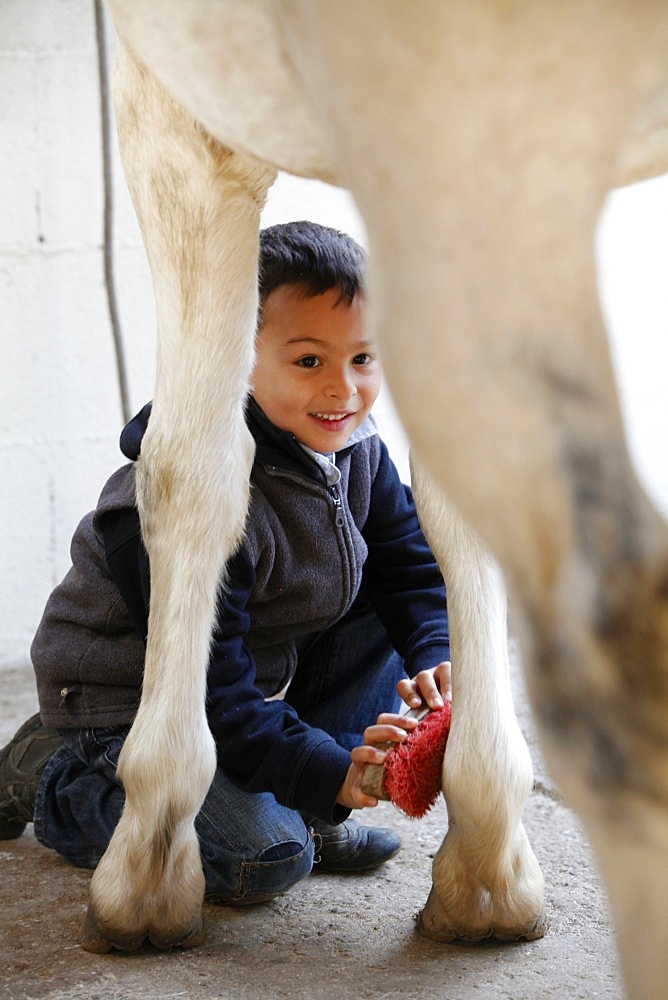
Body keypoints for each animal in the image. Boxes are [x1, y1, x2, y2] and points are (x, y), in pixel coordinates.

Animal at [83, 3, 668, 996]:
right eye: (313, 357)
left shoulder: (180, 120)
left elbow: (188, 470)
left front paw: (146, 873)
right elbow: (443, 522)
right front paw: (485, 867)